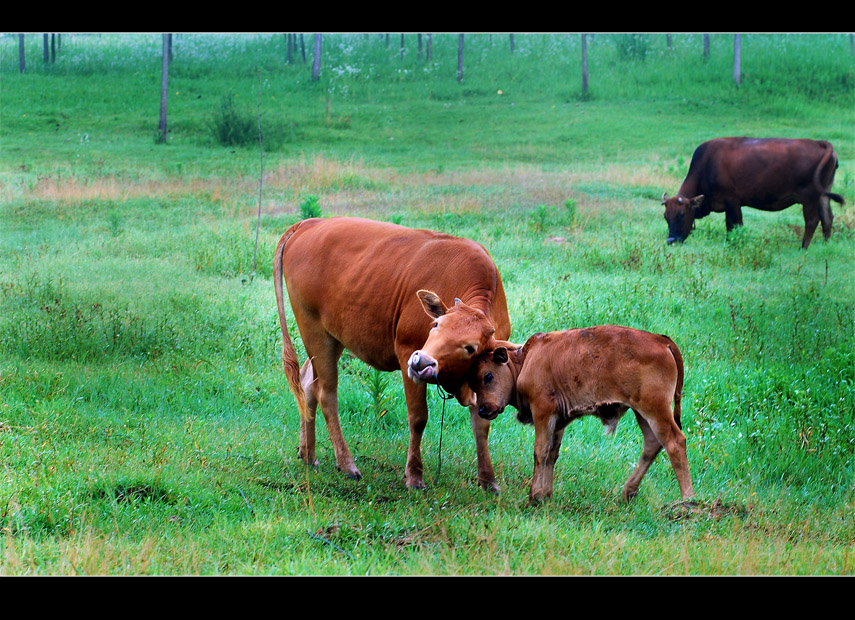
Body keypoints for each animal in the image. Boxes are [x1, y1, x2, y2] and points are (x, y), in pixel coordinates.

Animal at [278, 216, 512, 492]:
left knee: (307, 384)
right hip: (314, 329)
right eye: (435, 325)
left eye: (470, 348)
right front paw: (414, 476)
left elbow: (482, 425)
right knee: (326, 394)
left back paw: (308, 453)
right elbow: (418, 417)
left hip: (333, 336)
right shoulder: (406, 350)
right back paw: (346, 464)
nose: (420, 362)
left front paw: (488, 480)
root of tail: (310, 222)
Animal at [462, 324, 696, 504]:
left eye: (488, 376)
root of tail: (662, 340)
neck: (526, 360)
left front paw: (534, 496)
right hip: (643, 413)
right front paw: (546, 495)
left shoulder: (543, 413)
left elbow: (540, 452)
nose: (483, 409)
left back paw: (688, 501)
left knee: (674, 442)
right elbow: (552, 454)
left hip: (655, 410)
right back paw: (627, 493)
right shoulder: (558, 421)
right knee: (652, 444)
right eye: (472, 381)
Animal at [664, 137, 844, 248]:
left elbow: (735, 225)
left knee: (812, 221)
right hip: (823, 196)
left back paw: (803, 249)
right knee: (827, 219)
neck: (707, 164)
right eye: (666, 216)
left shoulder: (733, 201)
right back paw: (826, 245)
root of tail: (820, 143)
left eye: (681, 214)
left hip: (810, 198)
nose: (670, 240)